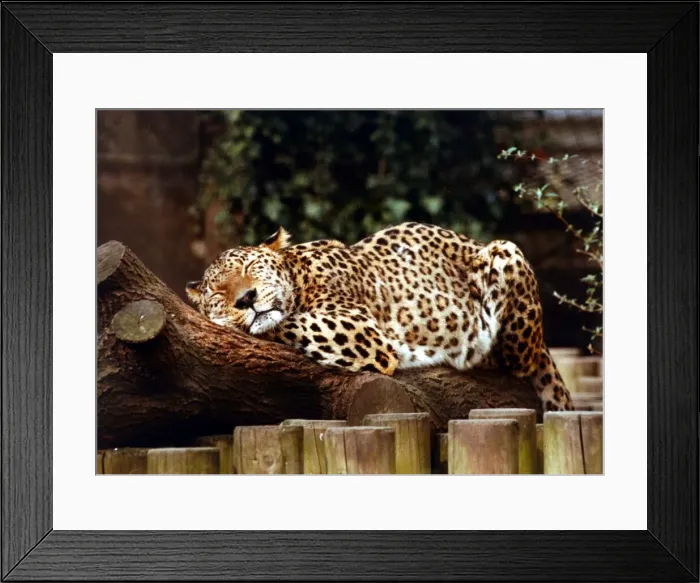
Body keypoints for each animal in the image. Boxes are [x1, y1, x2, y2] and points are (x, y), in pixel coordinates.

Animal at [186, 222, 573, 412]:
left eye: (251, 267)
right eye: (218, 293)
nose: (246, 298)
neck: (301, 273)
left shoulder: (358, 329)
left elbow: (282, 323)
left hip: (505, 251)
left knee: (516, 361)